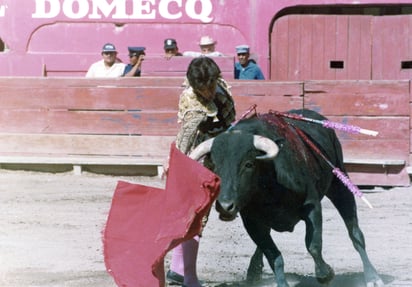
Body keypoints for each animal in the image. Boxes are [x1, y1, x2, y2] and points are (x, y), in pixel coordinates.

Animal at [190, 109, 384, 287]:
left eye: (249, 164)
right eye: (214, 166)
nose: (225, 206)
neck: (270, 181)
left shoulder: (312, 206)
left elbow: (313, 245)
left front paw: (326, 274)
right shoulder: (252, 221)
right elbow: (274, 256)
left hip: (339, 182)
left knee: (355, 233)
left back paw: (373, 277)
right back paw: (253, 272)